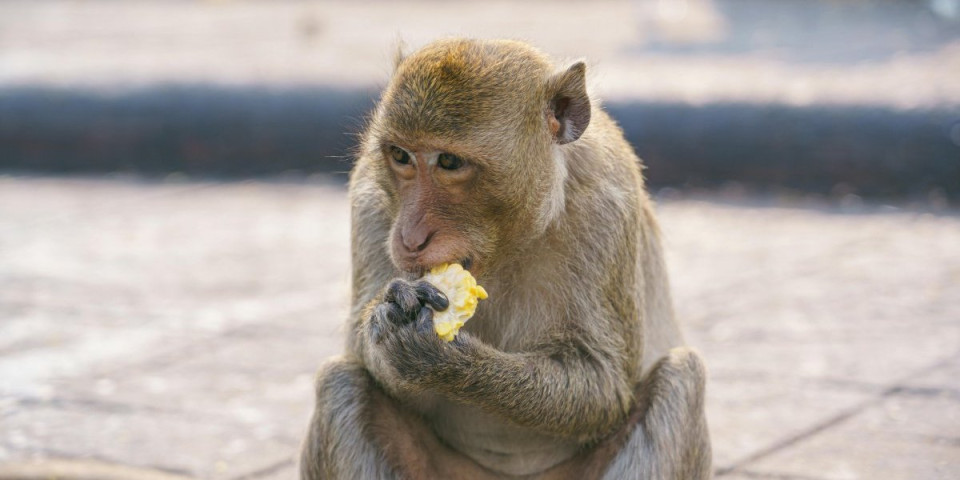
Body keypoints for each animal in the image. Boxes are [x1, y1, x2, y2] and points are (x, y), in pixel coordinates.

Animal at [302, 38, 712, 480]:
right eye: (400, 155)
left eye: (449, 162)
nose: (409, 238)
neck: (508, 245)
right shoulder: (369, 197)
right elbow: (367, 358)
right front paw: (386, 318)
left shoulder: (608, 200)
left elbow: (604, 384)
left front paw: (446, 361)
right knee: (341, 382)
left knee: (681, 378)